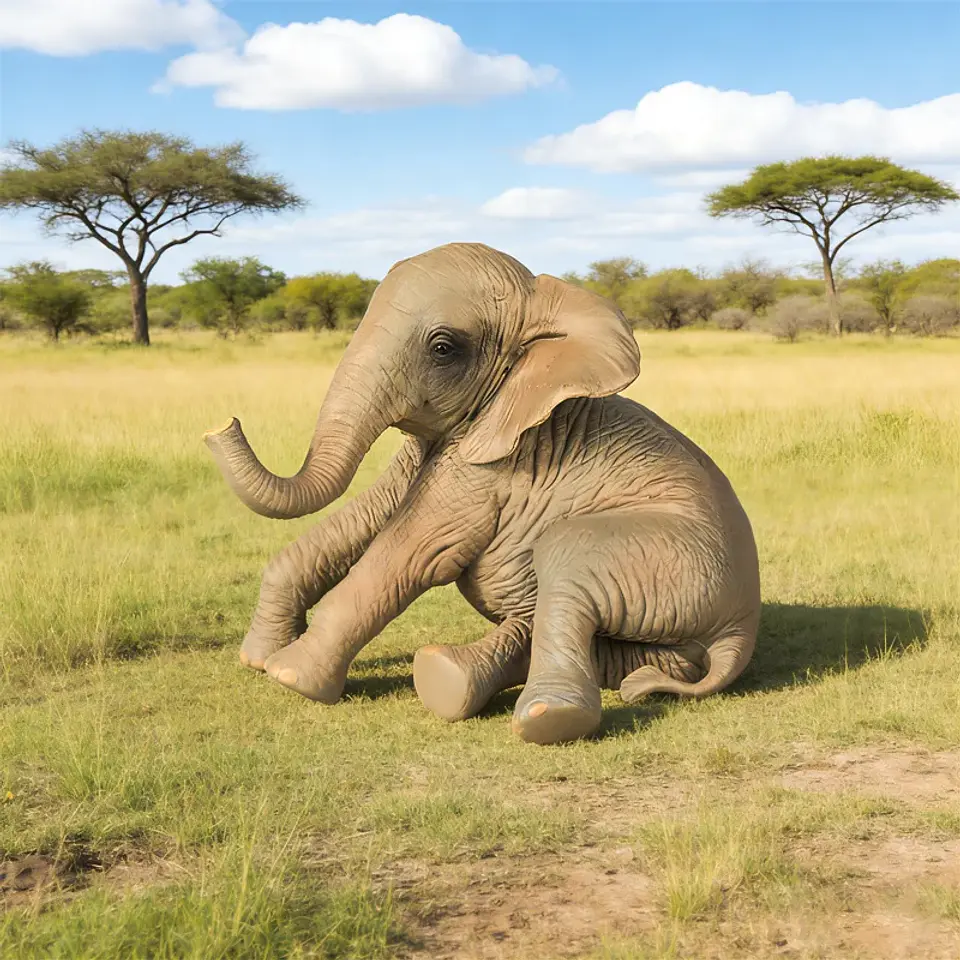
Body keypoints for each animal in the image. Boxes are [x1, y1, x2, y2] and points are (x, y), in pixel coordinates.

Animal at [204, 242, 761, 745]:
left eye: (443, 348)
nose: (221, 424)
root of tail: (741, 628)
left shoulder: (493, 467)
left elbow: (411, 551)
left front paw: (289, 676)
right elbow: (364, 518)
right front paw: (257, 659)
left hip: (675, 560)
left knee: (566, 555)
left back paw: (534, 715)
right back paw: (451, 677)